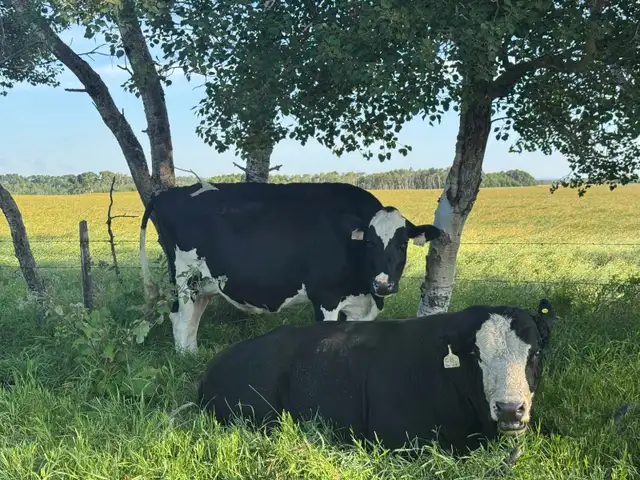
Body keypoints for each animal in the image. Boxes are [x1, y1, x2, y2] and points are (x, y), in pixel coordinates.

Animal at [139, 182, 441, 353]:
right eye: (369, 242)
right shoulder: (326, 298)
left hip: (204, 285)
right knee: (181, 320)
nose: (383, 284)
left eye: (402, 244)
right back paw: (185, 360)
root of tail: (166, 194)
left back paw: (193, 356)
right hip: (184, 280)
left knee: (191, 320)